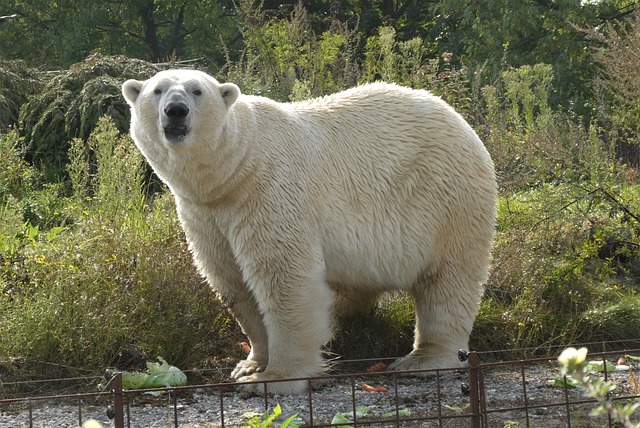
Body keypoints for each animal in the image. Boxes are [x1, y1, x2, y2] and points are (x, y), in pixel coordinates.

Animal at [122, 69, 497, 395]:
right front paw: (248, 365)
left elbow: (285, 278)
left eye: (197, 91)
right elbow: (233, 283)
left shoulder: (269, 194)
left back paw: (422, 359)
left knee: (447, 281)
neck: (236, 170)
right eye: (157, 90)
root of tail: (461, 121)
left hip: (445, 201)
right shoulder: (205, 214)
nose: (176, 110)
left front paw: (272, 379)